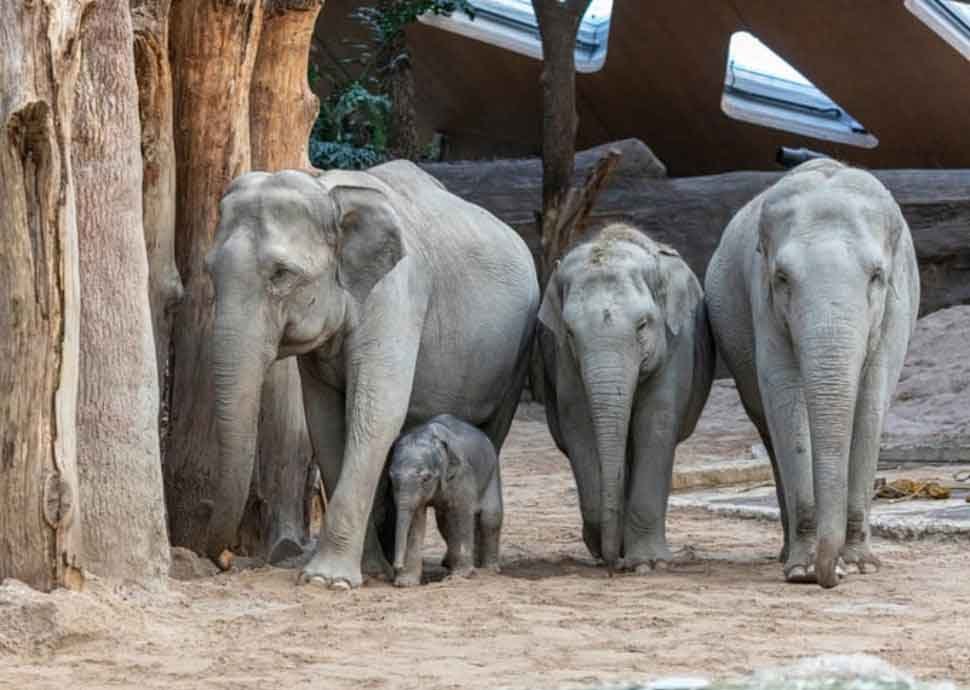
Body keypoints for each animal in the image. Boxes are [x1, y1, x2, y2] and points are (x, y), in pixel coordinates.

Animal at [388, 414, 502, 584]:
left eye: (426, 478)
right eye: (391, 477)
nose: (397, 566)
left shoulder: (462, 474)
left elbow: (462, 513)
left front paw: (462, 575)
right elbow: (416, 519)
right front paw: (405, 583)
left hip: (492, 470)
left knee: (490, 517)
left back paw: (489, 570)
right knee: (444, 522)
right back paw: (451, 564)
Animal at [536, 223, 712, 568]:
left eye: (643, 325)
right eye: (570, 332)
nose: (612, 564)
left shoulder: (677, 344)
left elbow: (655, 422)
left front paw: (647, 563)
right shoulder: (564, 358)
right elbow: (578, 422)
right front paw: (607, 547)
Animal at [704, 160, 916, 584]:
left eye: (877, 276)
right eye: (782, 278)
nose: (830, 577)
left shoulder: (894, 310)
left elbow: (871, 402)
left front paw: (861, 565)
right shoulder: (763, 303)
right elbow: (785, 397)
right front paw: (802, 570)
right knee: (766, 426)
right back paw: (787, 553)